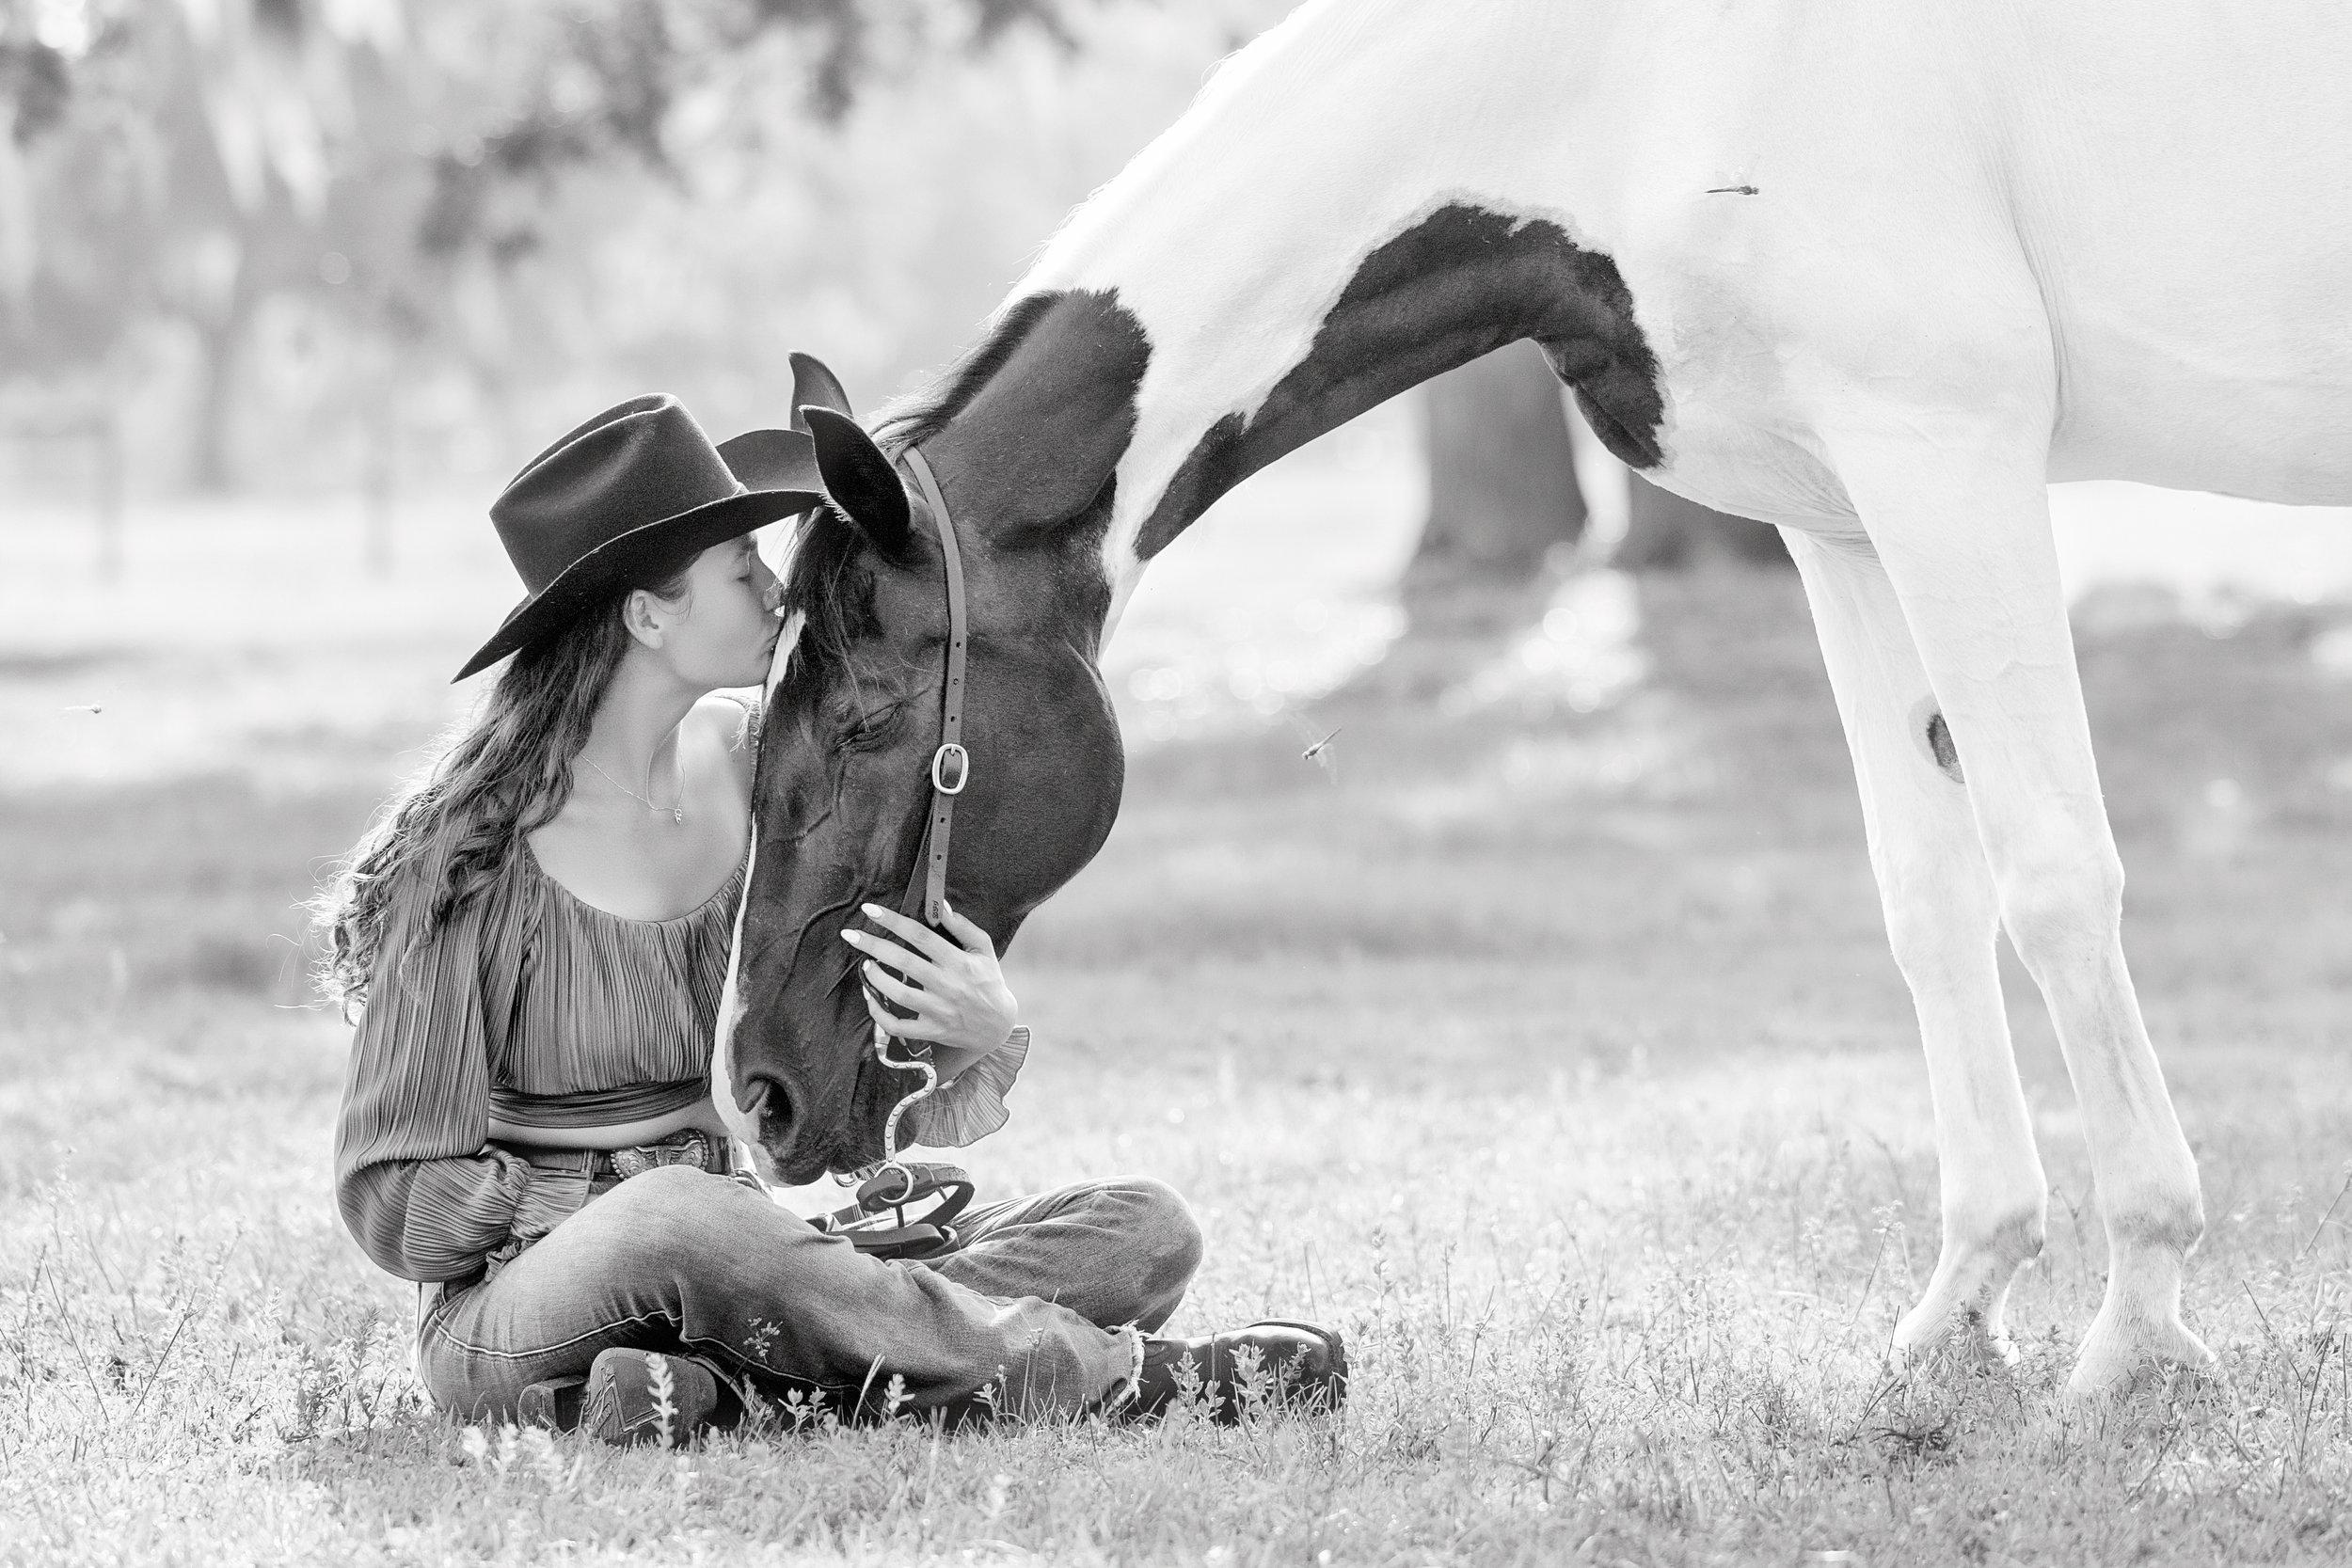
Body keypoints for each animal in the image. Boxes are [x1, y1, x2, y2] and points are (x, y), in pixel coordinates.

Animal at [714, 0, 2352, 1398]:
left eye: (866, 717)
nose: (759, 1091)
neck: (1639, 73)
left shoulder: (1949, 459)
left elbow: (2057, 878)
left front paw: (2139, 1330)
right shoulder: (1845, 518)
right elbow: (1932, 905)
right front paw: (1962, 1308)